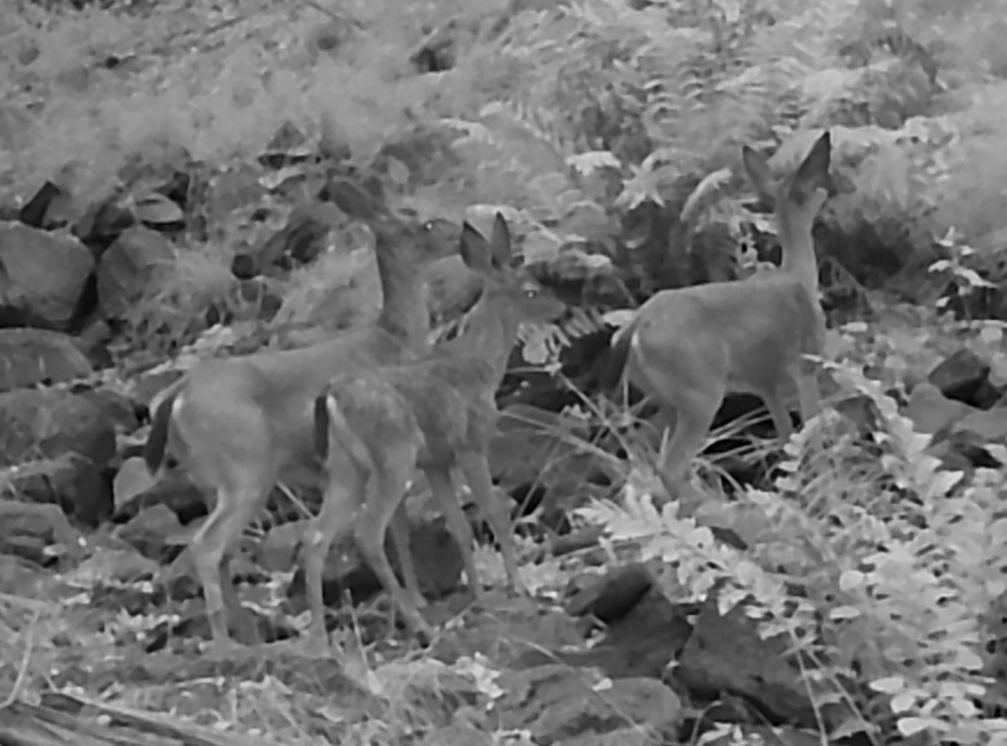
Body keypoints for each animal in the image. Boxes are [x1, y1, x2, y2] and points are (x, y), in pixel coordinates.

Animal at [143, 178, 460, 656]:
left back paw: (252, 636)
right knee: (208, 546)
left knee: (225, 551)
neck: (394, 339)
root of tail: (174, 397)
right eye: (422, 222)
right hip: (247, 468)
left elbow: (397, 529)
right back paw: (227, 642)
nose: (461, 233)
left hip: (211, 479)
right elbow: (396, 528)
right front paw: (417, 598)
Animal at [304, 213, 566, 647]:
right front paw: (517, 586)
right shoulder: (471, 445)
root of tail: (332, 396)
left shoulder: (436, 461)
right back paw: (420, 625)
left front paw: (481, 596)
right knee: (367, 534)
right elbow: (495, 515)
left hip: (346, 468)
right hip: (393, 454)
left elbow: (459, 527)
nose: (561, 307)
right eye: (531, 290)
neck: (482, 366)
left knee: (315, 537)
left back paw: (321, 640)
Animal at [608, 131, 837, 502]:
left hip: (665, 397)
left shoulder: (766, 382)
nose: (834, 190)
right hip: (701, 391)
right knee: (670, 465)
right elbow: (810, 437)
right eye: (819, 184)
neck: (799, 275)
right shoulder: (805, 364)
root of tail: (635, 329)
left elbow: (786, 435)